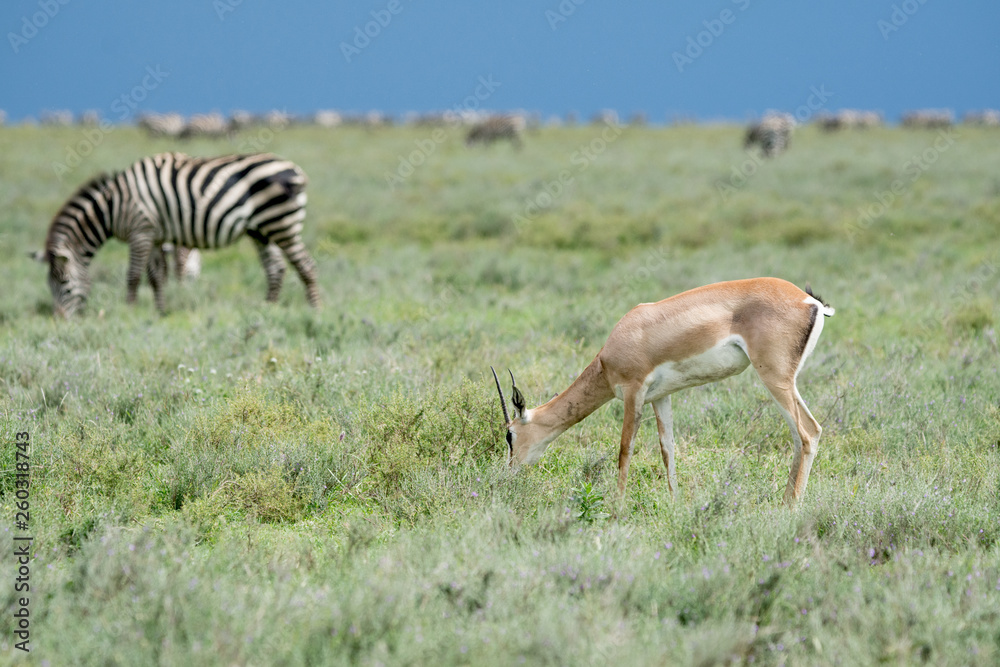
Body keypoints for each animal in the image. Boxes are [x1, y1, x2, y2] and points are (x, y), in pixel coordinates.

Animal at [492, 278, 835, 506]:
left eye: (509, 435)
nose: (506, 475)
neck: (610, 353)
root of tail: (810, 301)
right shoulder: (660, 397)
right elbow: (667, 448)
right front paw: (675, 503)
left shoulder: (634, 391)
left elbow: (624, 449)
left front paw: (617, 508)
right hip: (784, 381)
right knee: (802, 435)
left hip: (775, 378)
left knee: (808, 432)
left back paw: (790, 507)